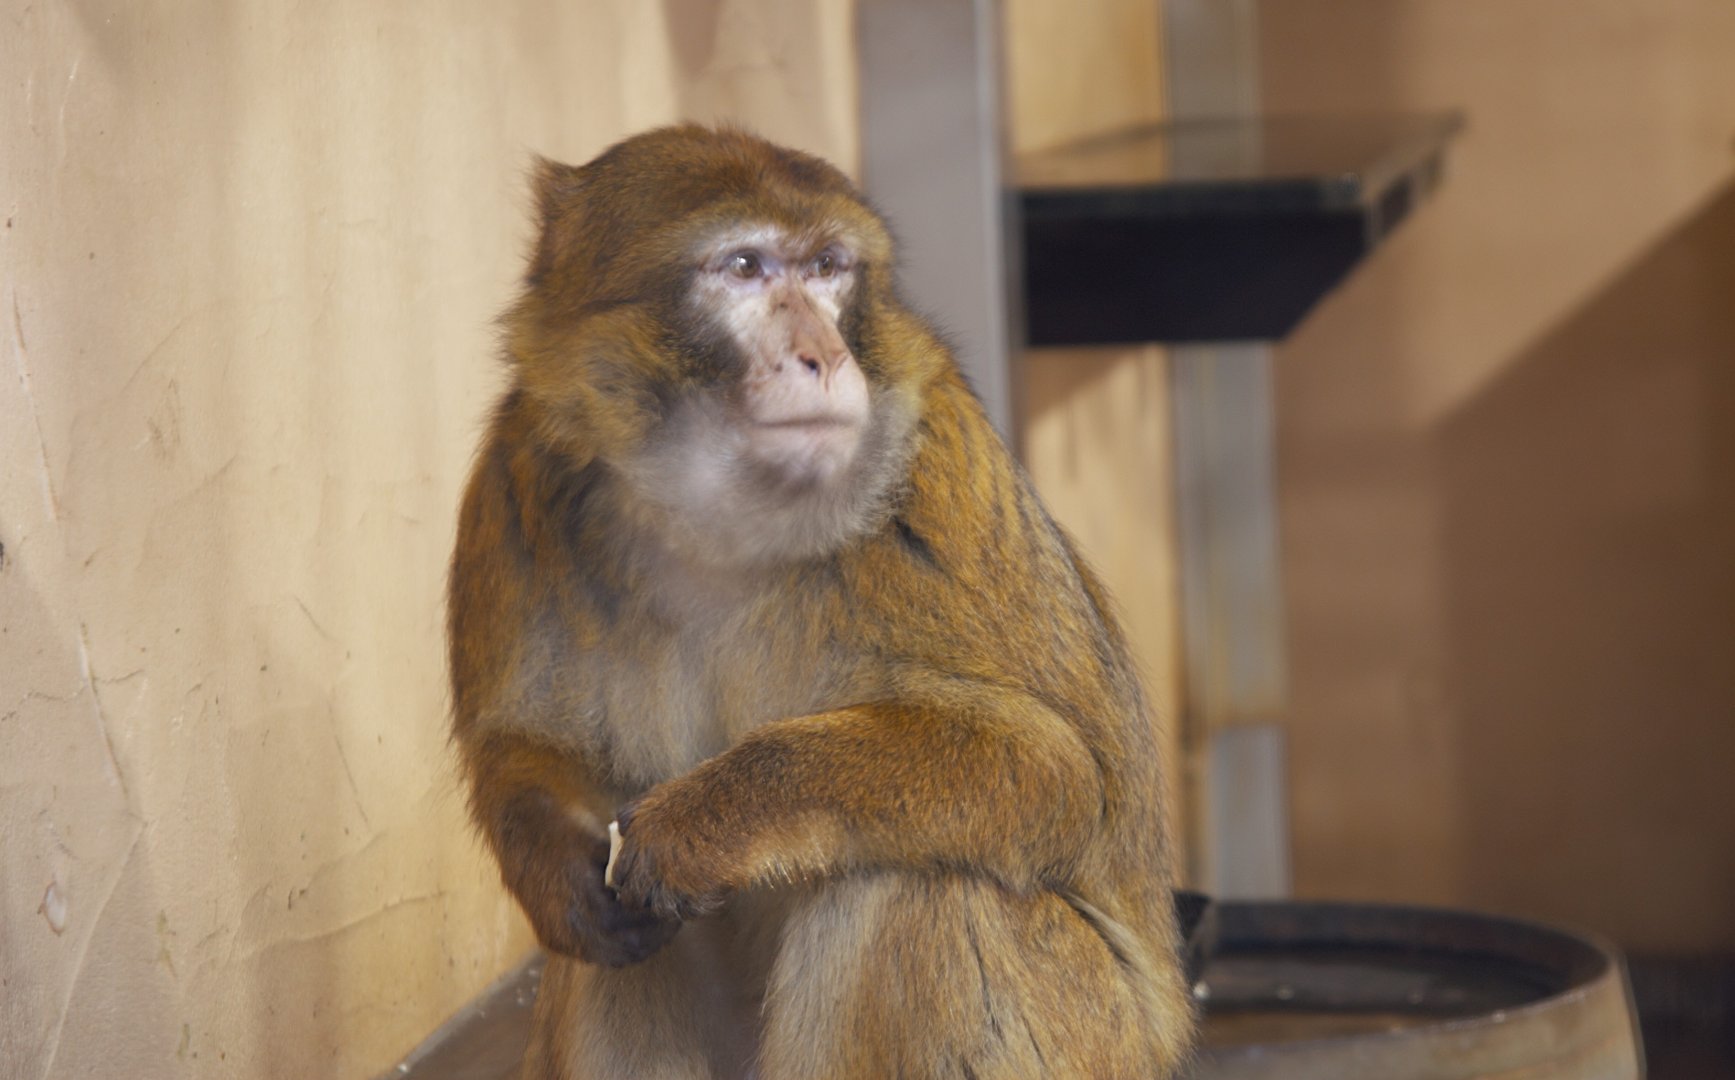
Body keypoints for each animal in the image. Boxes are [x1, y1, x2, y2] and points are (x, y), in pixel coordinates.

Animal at [447, 124, 1195, 1080]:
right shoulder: (517, 468)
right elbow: (521, 744)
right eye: (744, 267)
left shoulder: (931, 466)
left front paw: (711, 819)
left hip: (1095, 1034)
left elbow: (1056, 772)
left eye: (829, 267)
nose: (825, 355)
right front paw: (557, 876)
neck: (715, 519)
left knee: (916, 882)